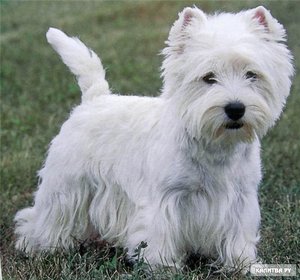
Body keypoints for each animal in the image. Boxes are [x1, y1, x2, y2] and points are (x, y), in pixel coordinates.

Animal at [14, 5, 292, 272]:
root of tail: (94, 98)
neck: (214, 145)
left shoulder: (241, 198)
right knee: (45, 216)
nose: (235, 108)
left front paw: (241, 264)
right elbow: (160, 235)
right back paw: (39, 246)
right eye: (208, 77)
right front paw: (163, 266)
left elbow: (237, 236)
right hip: (66, 185)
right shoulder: (165, 199)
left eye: (252, 74)